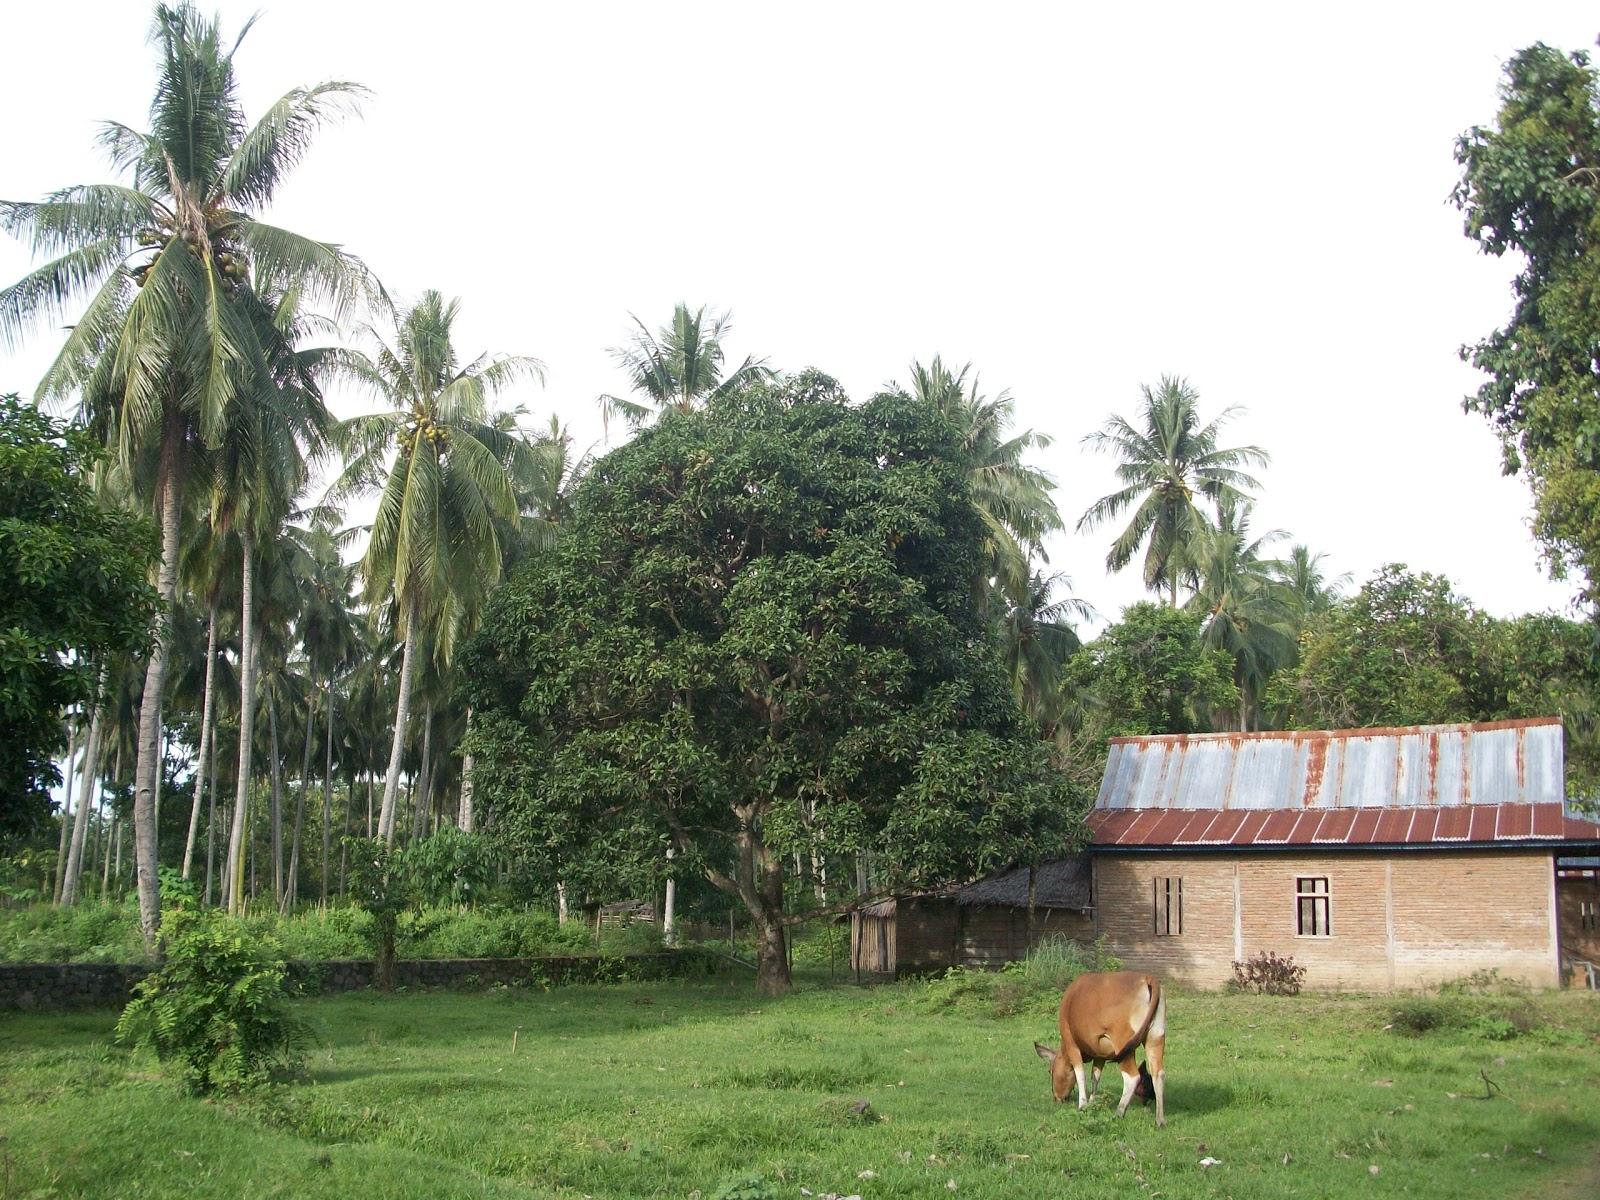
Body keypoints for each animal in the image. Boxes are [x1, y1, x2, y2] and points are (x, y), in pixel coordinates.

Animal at [1036, 966, 1164, 1126]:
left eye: (1050, 1071)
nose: (1057, 1098)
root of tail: (1147, 979)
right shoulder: (1100, 1055)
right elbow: (1095, 1076)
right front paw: (1092, 1103)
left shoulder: (1071, 1043)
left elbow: (1080, 1074)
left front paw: (1083, 1105)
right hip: (1155, 1038)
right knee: (1158, 1074)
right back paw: (1160, 1120)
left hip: (1123, 1044)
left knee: (1132, 1077)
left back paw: (1119, 1112)